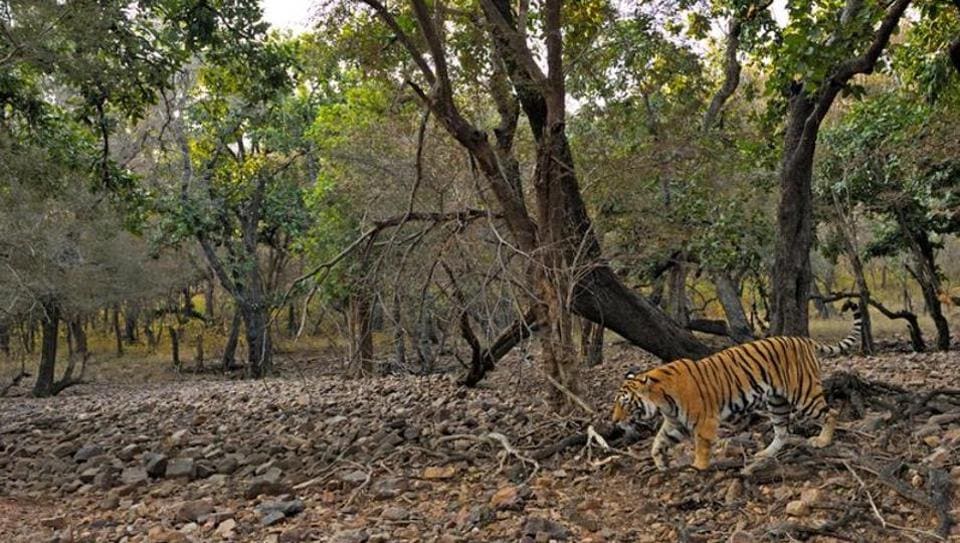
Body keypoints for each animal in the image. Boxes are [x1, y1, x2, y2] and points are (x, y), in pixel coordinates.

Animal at [611, 309, 862, 471]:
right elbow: (658, 442)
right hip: (777, 402)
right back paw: (766, 454)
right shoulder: (675, 423)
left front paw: (698, 468)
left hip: (804, 393)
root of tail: (803, 340)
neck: (662, 401)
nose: (614, 421)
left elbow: (701, 446)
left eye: (625, 403)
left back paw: (823, 441)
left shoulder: (704, 421)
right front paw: (660, 463)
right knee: (782, 431)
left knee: (831, 413)